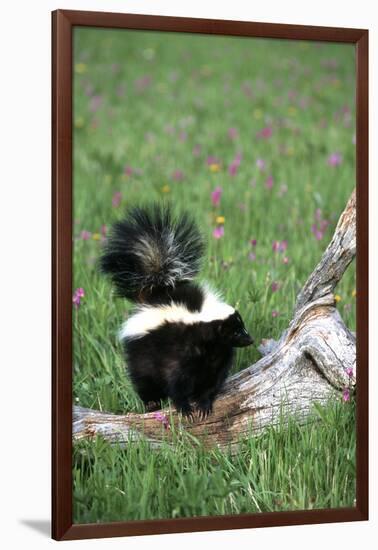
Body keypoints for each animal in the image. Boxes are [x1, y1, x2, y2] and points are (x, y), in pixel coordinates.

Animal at [101, 206, 254, 418]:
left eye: (242, 327)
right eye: (236, 331)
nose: (251, 339)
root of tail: (157, 293)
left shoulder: (217, 358)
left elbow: (211, 382)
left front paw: (203, 404)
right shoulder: (177, 351)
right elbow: (175, 380)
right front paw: (184, 408)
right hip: (141, 351)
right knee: (143, 378)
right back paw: (151, 403)